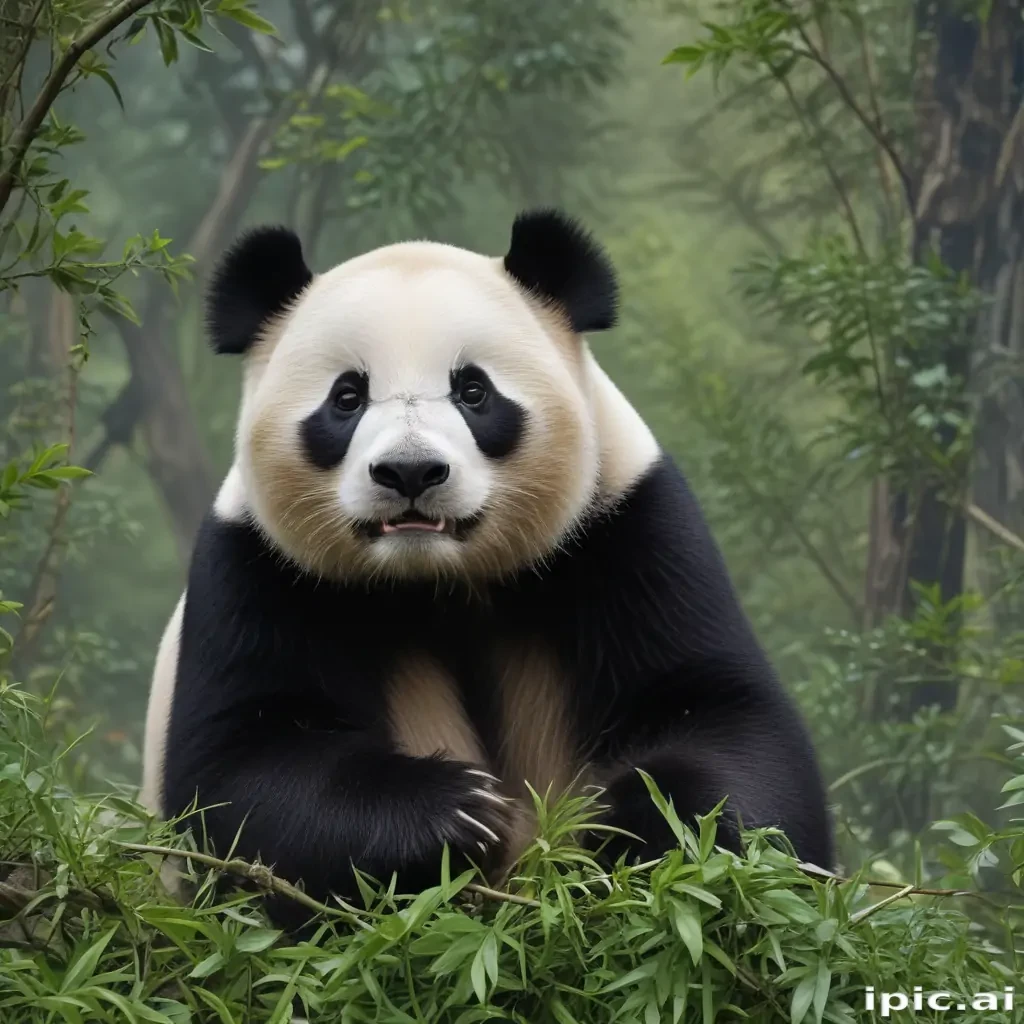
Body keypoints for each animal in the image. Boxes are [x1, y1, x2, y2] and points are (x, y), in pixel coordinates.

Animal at [140, 209, 832, 925]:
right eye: (346, 397)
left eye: (473, 390)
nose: (410, 471)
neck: (440, 579)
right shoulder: (259, 567)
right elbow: (241, 768)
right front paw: (454, 811)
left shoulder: (628, 526)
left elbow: (719, 712)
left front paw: (637, 822)